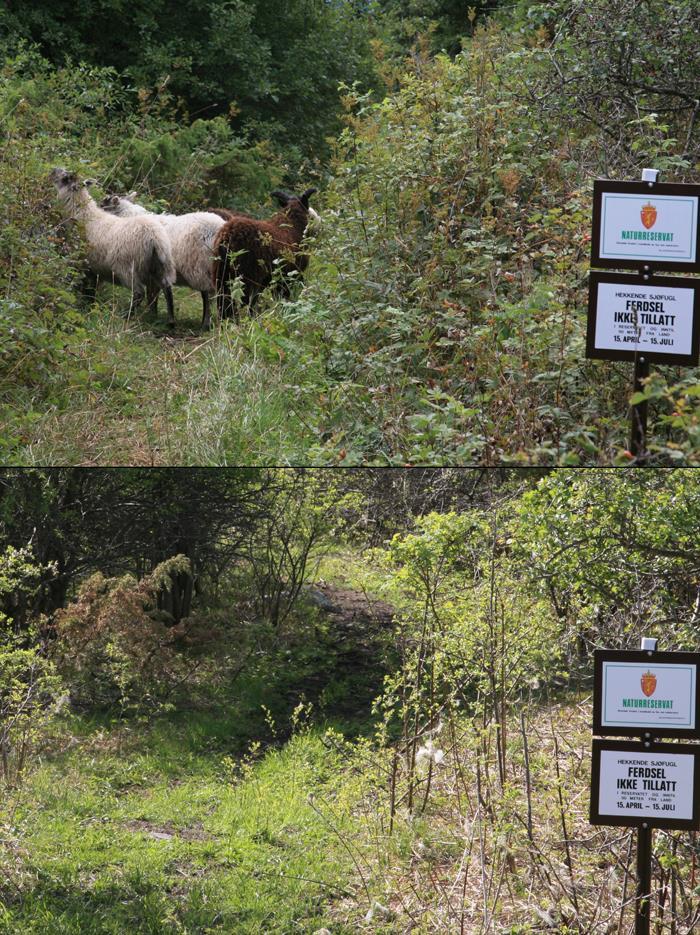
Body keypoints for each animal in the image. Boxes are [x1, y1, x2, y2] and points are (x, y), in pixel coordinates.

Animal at [49, 170, 175, 324]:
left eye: (66, 178)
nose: (53, 171)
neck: (85, 215)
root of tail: (155, 237)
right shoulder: (94, 269)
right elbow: (91, 291)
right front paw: (89, 306)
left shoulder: (83, 264)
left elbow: (85, 288)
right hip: (162, 266)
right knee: (167, 290)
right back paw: (170, 321)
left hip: (127, 268)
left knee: (139, 293)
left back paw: (127, 316)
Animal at [100, 194, 230, 330]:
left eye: (102, 206)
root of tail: (220, 228)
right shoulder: (153, 274)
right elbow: (153, 295)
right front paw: (152, 315)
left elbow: (152, 295)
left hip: (200, 266)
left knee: (207, 296)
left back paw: (205, 324)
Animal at [211, 188, 320, 324]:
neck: (292, 224)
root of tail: (227, 237)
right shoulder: (292, 276)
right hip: (248, 282)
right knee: (246, 309)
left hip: (222, 280)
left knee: (224, 310)